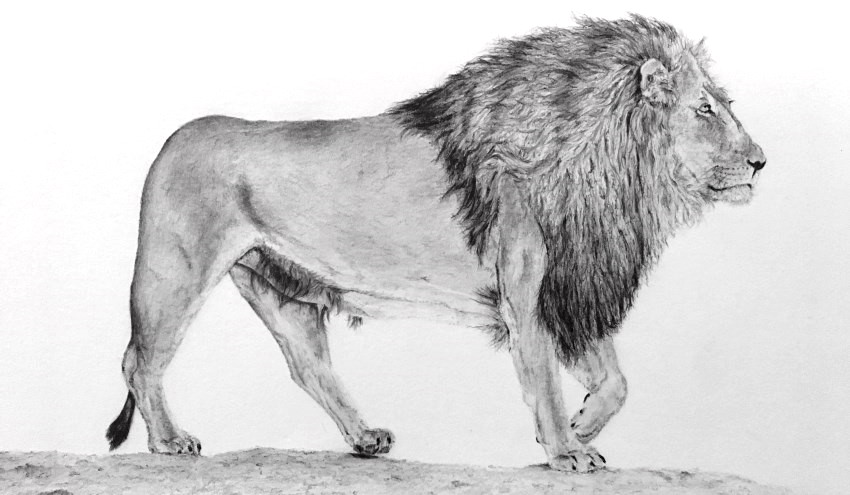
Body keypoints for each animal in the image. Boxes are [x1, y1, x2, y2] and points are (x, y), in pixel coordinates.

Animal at [107, 15, 765, 473]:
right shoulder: (528, 298)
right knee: (140, 360)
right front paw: (565, 449)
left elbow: (616, 383)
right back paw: (169, 442)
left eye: (723, 106)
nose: (761, 161)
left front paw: (582, 429)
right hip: (173, 275)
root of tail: (176, 137)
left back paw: (364, 438)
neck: (609, 169)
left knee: (309, 369)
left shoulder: (571, 291)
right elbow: (546, 383)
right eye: (705, 109)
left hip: (285, 290)